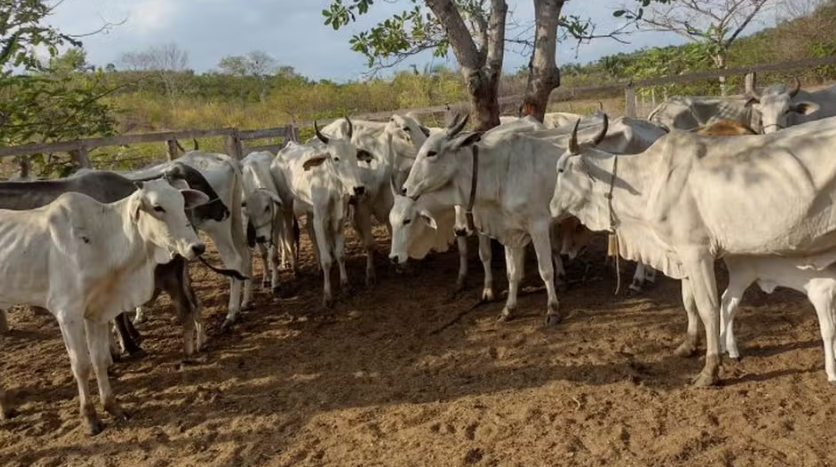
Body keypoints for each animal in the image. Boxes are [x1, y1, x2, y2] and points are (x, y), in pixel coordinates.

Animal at [0, 182, 208, 436]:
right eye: (158, 207)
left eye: (182, 202)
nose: (197, 247)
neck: (101, 240)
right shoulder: (67, 314)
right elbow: (81, 365)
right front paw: (90, 418)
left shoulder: (97, 313)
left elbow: (99, 360)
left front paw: (112, 407)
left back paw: (6, 409)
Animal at [272, 119, 368, 308]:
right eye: (336, 158)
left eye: (355, 156)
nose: (358, 188)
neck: (332, 186)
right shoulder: (320, 220)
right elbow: (327, 260)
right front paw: (327, 295)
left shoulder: (338, 220)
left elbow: (340, 255)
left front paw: (345, 285)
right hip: (287, 206)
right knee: (288, 236)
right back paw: (295, 268)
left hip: (310, 212)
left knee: (309, 231)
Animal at [548, 114, 836, 388]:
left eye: (561, 169)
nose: (551, 208)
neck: (649, 181)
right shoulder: (681, 254)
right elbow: (689, 301)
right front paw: (689, 345)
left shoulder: (697, 253)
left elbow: (709, 308)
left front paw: (710, 370)